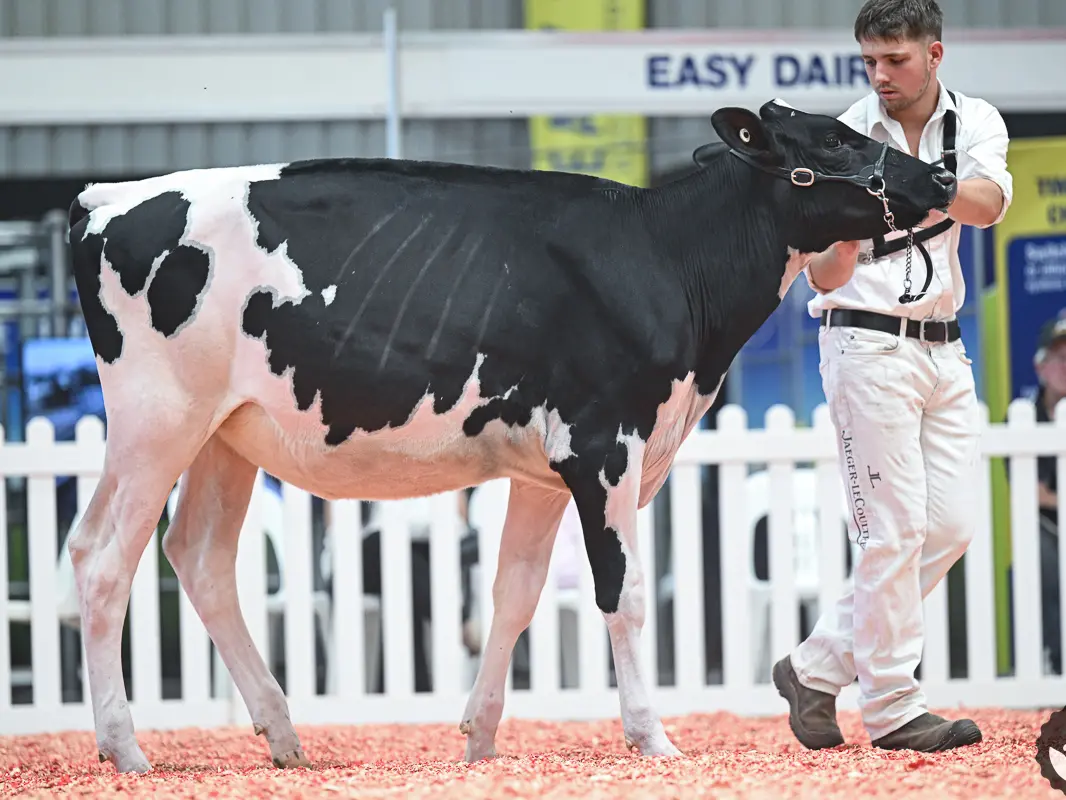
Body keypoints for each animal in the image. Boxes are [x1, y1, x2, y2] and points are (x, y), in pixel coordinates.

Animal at [64, 99, 956, 774]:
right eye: (835, 138)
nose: (942, 174)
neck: (670, 260)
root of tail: (105, 198)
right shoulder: (606, 447)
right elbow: (624, 593)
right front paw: (652, 737)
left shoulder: (542, 470)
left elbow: (514, 594)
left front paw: (481, 738)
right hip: (158, 419)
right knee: (105, 561)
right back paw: (126, 749)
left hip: (223, 435)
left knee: (197, 556)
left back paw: (283, 736)